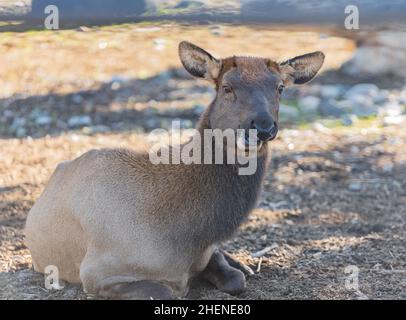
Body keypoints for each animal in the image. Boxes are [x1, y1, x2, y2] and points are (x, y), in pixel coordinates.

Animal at [25, 41, 324, 298]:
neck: (187, 235)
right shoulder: (96, 273)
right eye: (226, 87)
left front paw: (237, 267)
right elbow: (165, 291)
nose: (262, 127)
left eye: (280, 87)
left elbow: (234, 279)